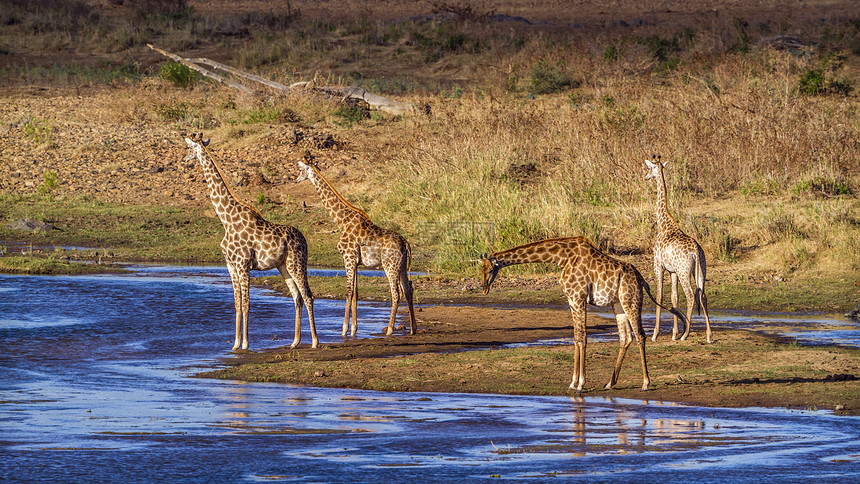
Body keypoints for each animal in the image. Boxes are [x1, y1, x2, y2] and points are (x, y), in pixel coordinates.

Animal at [182, 134, 320, 350]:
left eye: (189, 148)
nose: (184, 159)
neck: (227, 220)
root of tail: (304, 239)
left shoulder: (243, 265)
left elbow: (246, 304)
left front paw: (246, 344)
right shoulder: (230, 266)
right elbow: (237, 304)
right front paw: (235, 344)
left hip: (296, 263)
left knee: (308, 296)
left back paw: (314, 342)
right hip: (283, 266)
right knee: (296, 297)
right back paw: (295, 341)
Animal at [296, 159, 416, 336]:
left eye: (301, 170)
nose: (296, 180)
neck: (342, 221)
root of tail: (404, 242)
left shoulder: (348, 257)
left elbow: (347, 292)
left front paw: (344, 329)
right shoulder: (356, 262)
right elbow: (355, 293)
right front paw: (353, 329)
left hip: (389, 266)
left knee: (396, 294)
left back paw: (389, 330)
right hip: (401, 266)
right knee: (408, 291)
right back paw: (413, 328)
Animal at [478, 237, 684, 394]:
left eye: (490, 269)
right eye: (480, 270)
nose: (484, 289)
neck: (561, 258)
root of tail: (641, 278)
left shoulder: (579, 298)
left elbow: (583, 338)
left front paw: (580, 384)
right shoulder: (571, 301)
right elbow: (576, 337)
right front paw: (573, 382)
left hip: (630, 301)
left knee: (640, 336)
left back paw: (646, 383)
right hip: (618, 304)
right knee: (625, 338)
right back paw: (610, 383)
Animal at [644, 158, 712, 344]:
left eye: (650, 168)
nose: (646, 177)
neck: (663, 224)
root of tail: (695, 249)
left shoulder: (658, 266)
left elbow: (659, 295)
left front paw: (655, 334)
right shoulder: (672, 271)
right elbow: (674, 297)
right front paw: (673, 333)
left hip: (684, 271)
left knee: (690, 296)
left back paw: (686, 334)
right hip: (700, 270)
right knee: (702, 296)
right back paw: (709, 335)